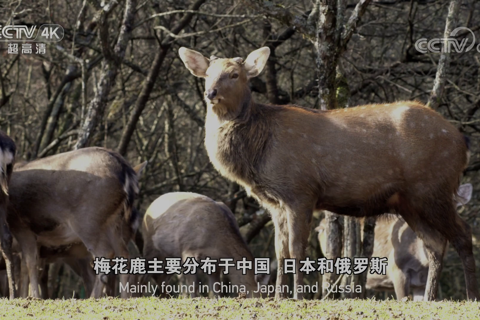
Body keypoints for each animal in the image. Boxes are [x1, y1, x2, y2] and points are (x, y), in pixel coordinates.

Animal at [6, 147, 146, 298]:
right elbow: (27, 267)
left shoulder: (22, 227)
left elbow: (30, 264)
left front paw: (33, 297)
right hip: (113, 222)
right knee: (124, 255)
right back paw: (124, 297)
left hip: (87, 220)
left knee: (106, 253)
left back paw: (93, 297)